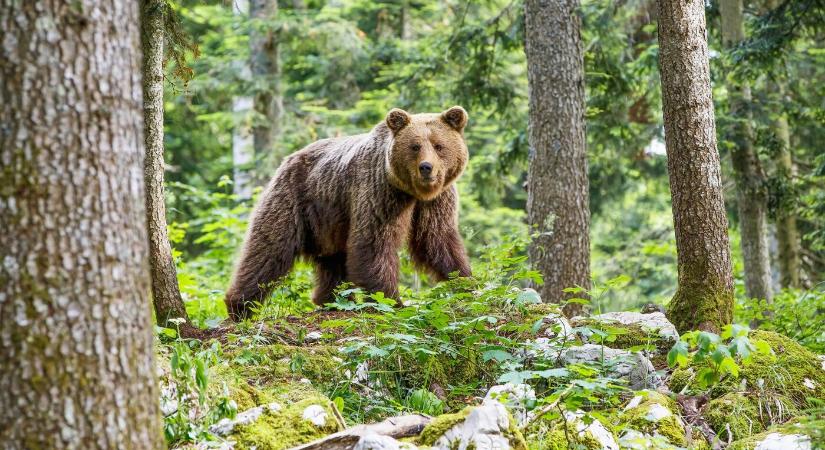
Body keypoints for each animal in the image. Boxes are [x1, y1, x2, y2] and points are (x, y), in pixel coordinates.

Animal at [224, 105, 470, 320]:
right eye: (415, 146)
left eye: (439, 146)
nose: (426, 168)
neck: (411, 191)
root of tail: (289, 158)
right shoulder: (379, 191)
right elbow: (374, 241)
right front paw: (392, 301)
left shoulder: (437, 199)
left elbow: (436, 238)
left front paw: (465, 281)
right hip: (294, 199)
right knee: (269, 248)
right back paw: (241, 307)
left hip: (329, 220)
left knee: (333, 261)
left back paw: (331, 300)